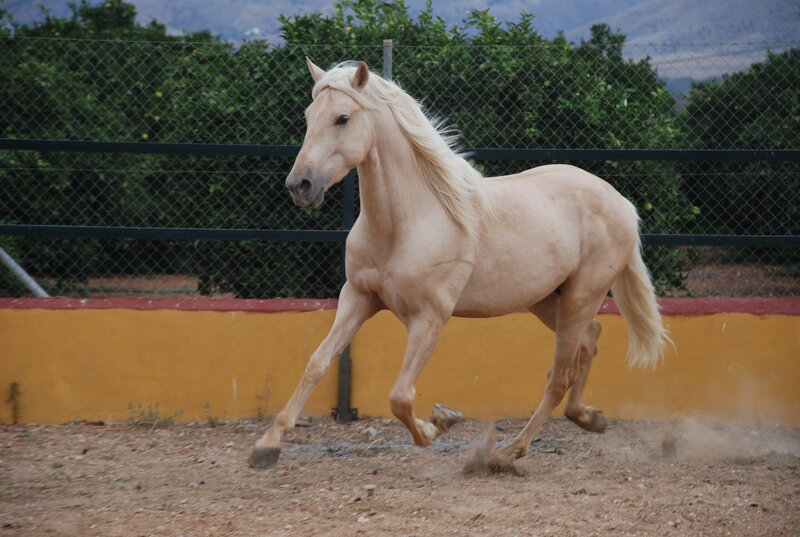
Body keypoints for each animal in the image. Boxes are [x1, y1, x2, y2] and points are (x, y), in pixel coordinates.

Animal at [248, 59, 670, 473]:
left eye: (342, 118)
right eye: (308, 116)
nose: (300, 186)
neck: (407, 222)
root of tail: (620, 201)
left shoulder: (429, 317)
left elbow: (400, 396)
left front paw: (439, 423)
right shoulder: (358, 298)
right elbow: (318, 362)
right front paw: (267, 444)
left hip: (582, 296)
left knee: (560, 375)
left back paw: (508, 453)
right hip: (548, 299)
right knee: (589, 340)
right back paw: (589, 418)